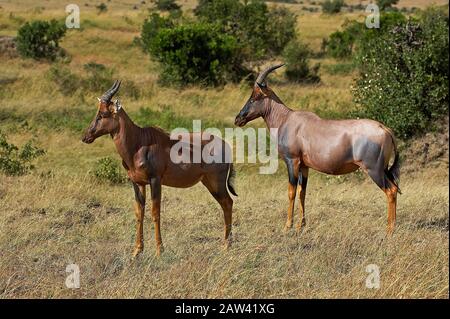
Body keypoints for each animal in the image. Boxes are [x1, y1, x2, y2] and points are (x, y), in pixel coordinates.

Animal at [81, 81, 237, 258]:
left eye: (102, 114)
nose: (86, 137)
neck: (139, 142)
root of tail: (226, 145)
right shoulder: (137, 183)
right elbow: (139, 213)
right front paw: (137, 251)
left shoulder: (155, 180)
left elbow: (155, 213)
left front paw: (159, 251)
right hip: (208, 182)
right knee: (226, 204)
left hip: (216, 182)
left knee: (228, 203)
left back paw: (226, 246)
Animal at [236, 65, 400, 235]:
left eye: (255, 97)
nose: (238, 119)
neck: (287, 119)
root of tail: (385, 129)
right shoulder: (304, 166)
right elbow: (302, 192)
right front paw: (301, 225)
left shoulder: (292, 161)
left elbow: (291, 192)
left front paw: (287, 226)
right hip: (383, 170)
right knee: (395, 188)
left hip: (374, 170)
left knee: (391, 191)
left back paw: (389, 231)